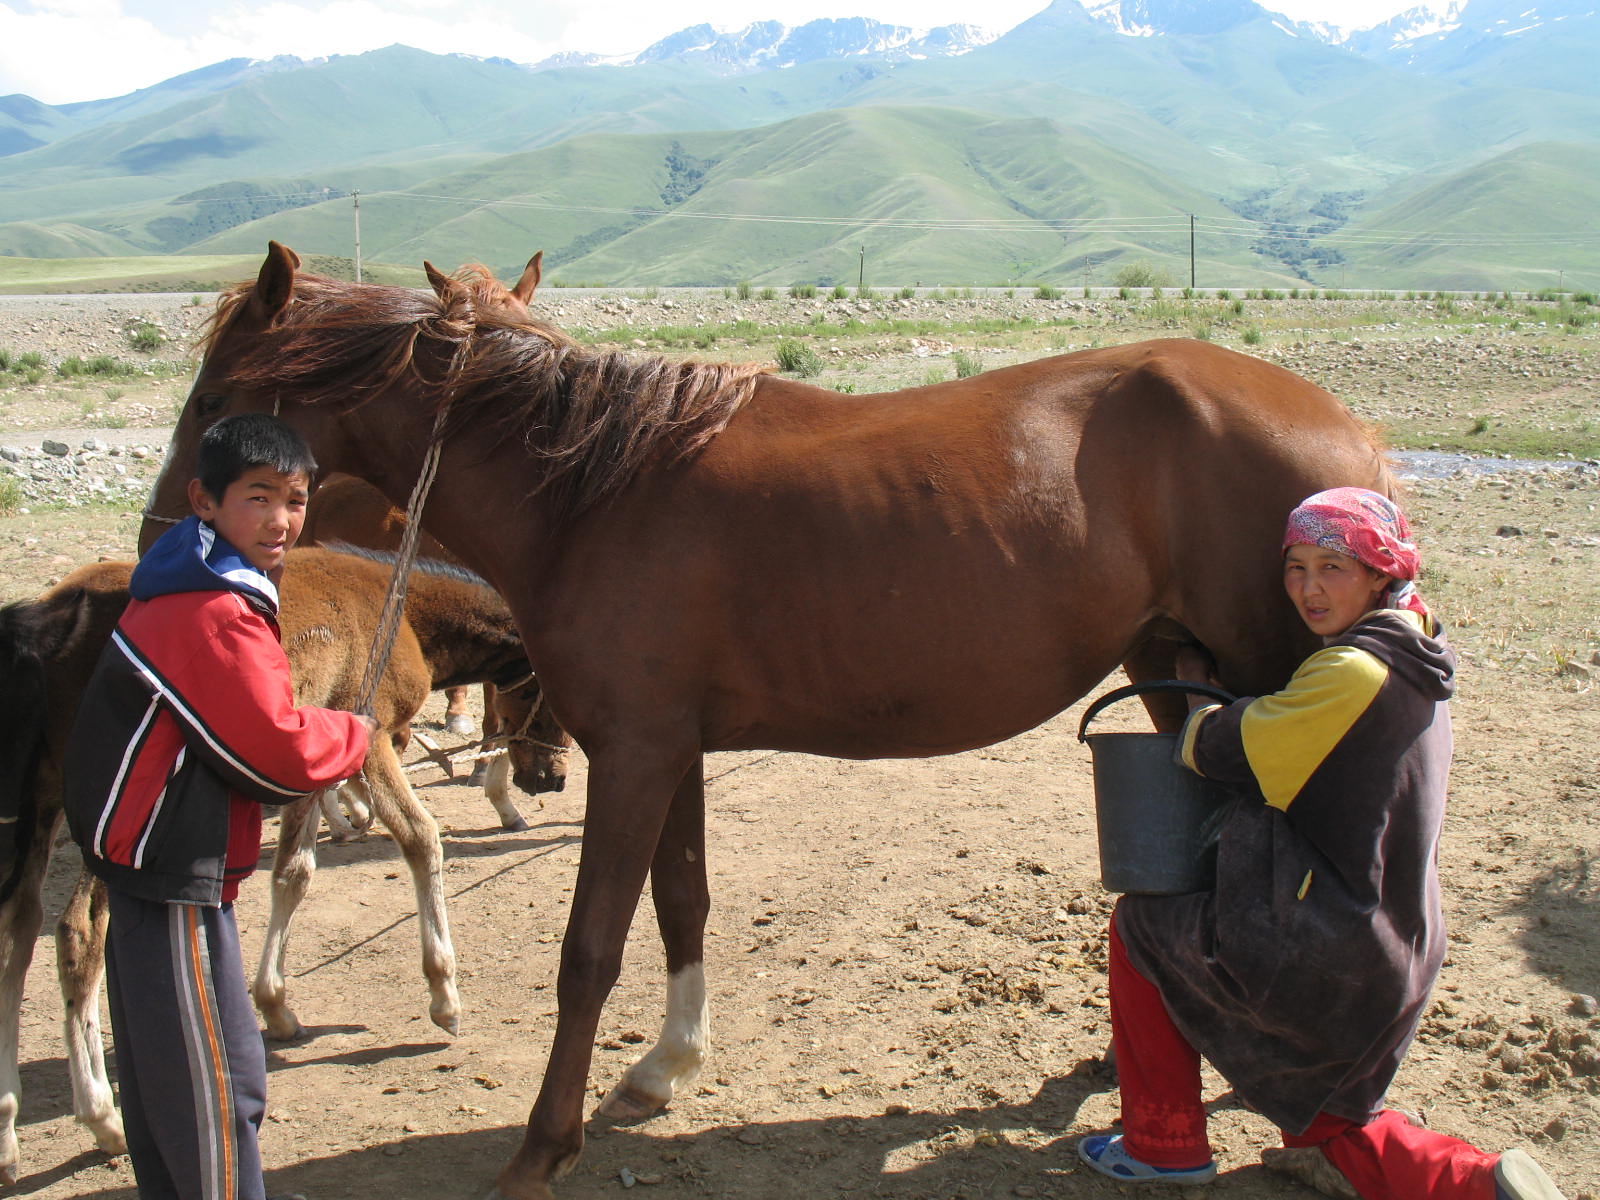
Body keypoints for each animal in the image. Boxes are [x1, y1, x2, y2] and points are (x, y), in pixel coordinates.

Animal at [0, 550, 569, 1190]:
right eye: (541, 692)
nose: (552, 779)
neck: (406, 613)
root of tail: (55, 617)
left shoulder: (309, 750)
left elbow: (294, 872)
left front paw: (275, 1005)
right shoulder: (368, 735)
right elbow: (422, 840)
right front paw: (444, 994)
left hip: (41, 799)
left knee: (18, 929)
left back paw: (8, 1128)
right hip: (106, 814)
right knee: (77, 933)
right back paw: (100, 1114)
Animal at [150, 246, 1395, 1200]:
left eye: (214, 405)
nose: (172, 534)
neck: (592, 493)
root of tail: (1347, 429)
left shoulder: (635, 755)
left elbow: (589, 951)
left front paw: (544, 1147)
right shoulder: (668, 750)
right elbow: (683, 902)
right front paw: (666, 1067)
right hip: (1178, 675)